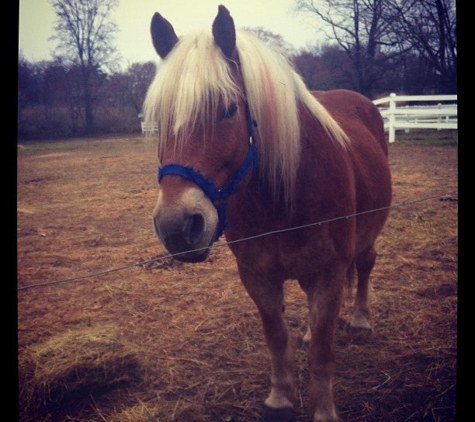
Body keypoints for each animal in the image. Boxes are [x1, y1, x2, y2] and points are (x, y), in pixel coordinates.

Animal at [143, 5, 392, 422]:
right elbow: (277, 337)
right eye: (159, 118)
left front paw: (324, 410)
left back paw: (360, 319)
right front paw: (280, 398)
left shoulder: (329, 273)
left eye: (229, 110)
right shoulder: (257, 277)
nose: (177, 227)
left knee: (365, 264)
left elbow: (323, 352)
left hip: (367, 237)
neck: (281, 200)